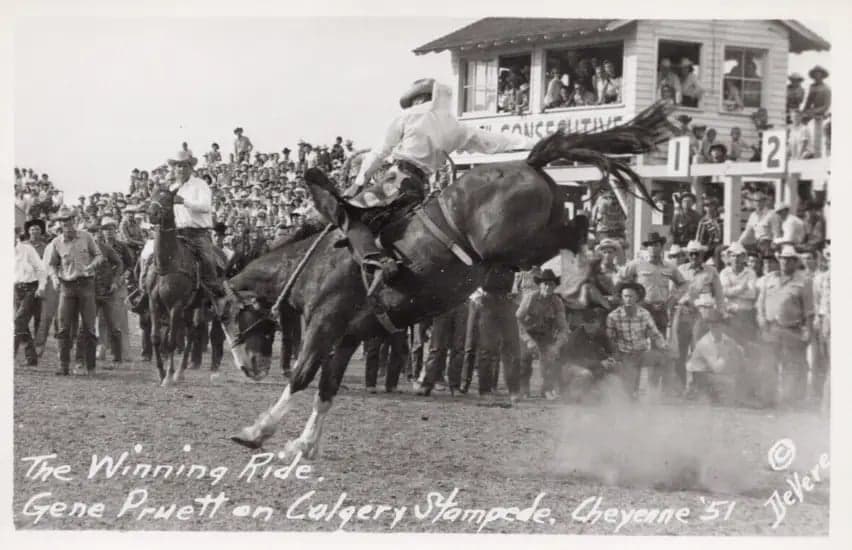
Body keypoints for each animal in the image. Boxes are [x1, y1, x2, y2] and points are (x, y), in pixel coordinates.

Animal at [223, 101, 676, 460]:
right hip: (523, 245)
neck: (315, 262)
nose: (248, 367)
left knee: (576, 231)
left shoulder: (325, 323)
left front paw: (256, 431)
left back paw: (579, 276)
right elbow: (326, 389)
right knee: (575, 228)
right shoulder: (348, 336)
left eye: (228, 315)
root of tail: (529, 162)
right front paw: (301, 445)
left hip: (509, 245)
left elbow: (301, 376)